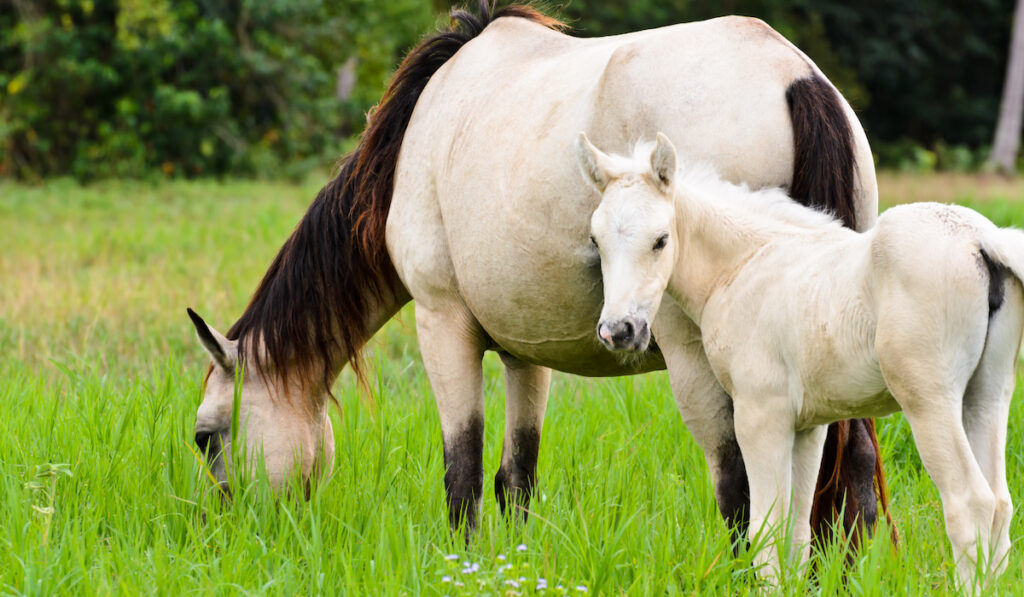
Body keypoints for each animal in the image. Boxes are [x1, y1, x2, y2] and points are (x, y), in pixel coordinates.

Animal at [190, 1, 888, 544]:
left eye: (205, 438)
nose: (230, 531)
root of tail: (792, 75)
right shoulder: (525, 351)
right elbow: (516, 478)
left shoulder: (442, 323)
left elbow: (464, 471)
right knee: (850, 467)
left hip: (702, 364)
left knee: (738, 484)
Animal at [577, 133, 1024, 585]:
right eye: (596, 241)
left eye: (661, 240)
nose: (619, 330)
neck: (744, 264)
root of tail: (980, 239)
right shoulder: (808, 427)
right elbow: (795, 533)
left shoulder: (760, 415)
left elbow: (765, 530)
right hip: (985, 397)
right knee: (1001, 506)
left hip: (929, 400)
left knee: (970, 502)